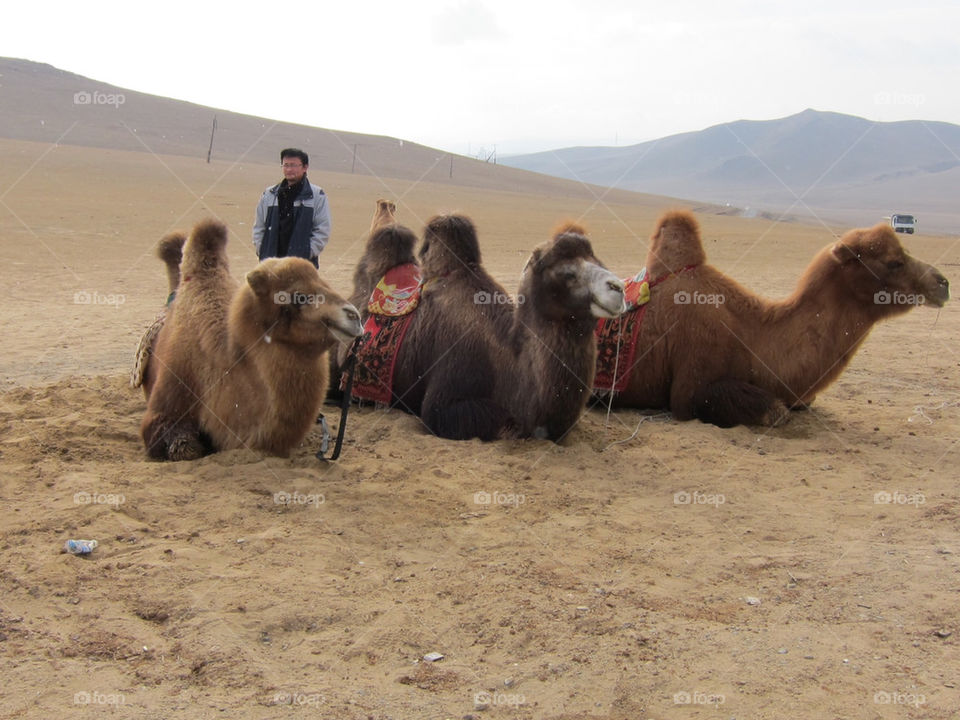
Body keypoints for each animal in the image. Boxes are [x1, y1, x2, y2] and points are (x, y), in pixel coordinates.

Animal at [597, 210, 950, 427]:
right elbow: (777, 412)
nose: (942, 283)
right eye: (893, 262)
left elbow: (801, 401)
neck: (752, 335)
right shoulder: (690, 385)